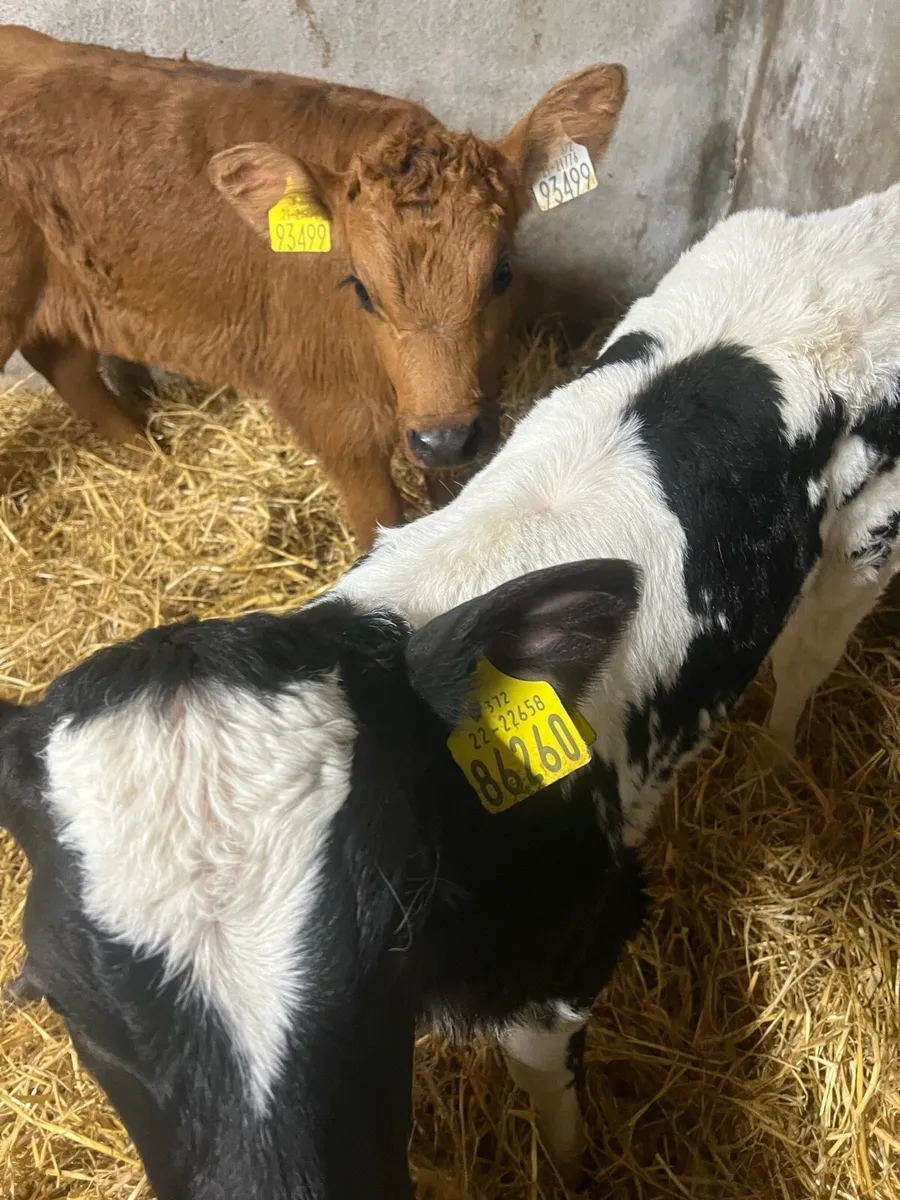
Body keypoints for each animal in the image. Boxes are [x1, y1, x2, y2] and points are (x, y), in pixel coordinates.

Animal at [0, 24, 627, 549]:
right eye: (361, 289)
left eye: (502, 272)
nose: (443, 439)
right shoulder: (335, 419)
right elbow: (380, 526)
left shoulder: (459, 414)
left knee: (65, 361)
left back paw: (151, 455)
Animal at [6, 182, 900, 1194]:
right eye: (52, 996)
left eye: (388, 927)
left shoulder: (578, 943)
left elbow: (544, 1080)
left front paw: (570, 1168)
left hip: (863, 547)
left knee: (806, 662)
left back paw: (777, 767)